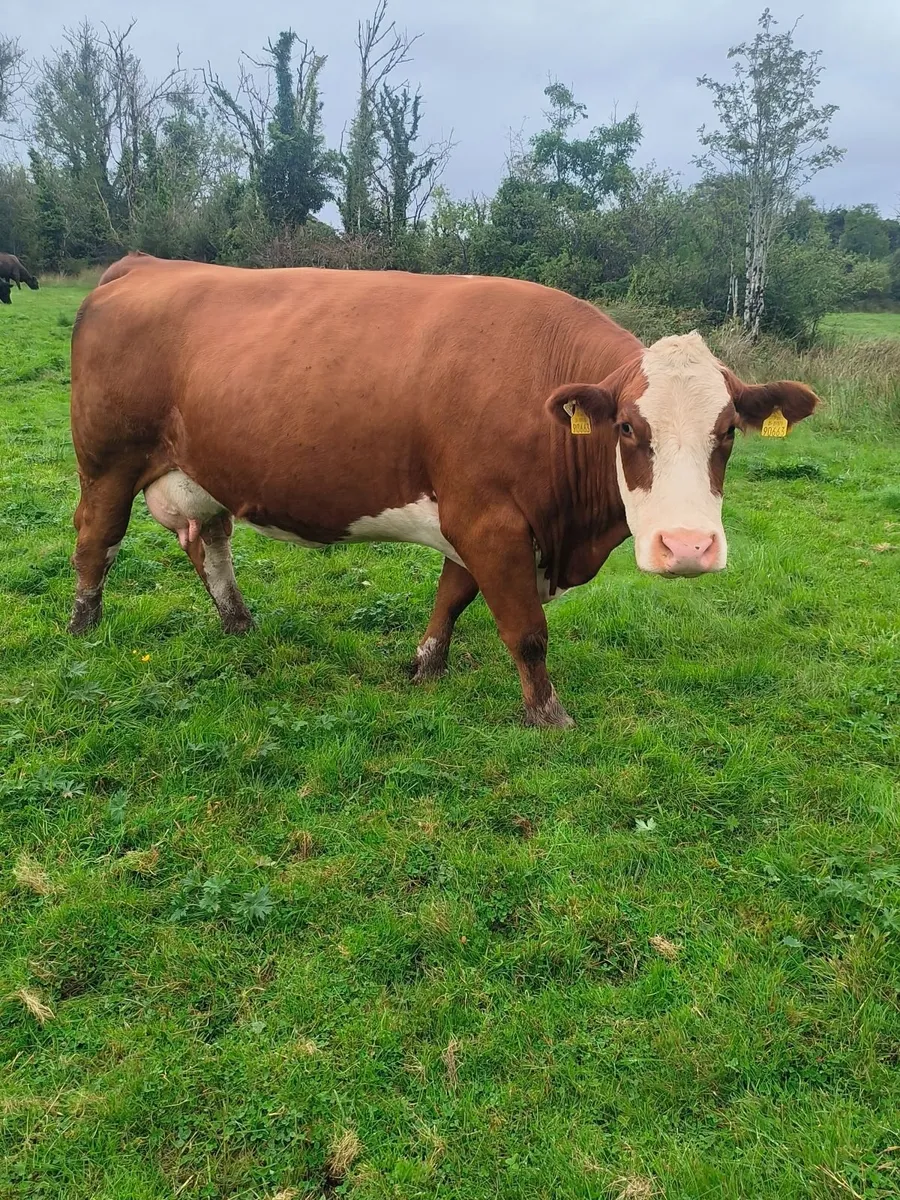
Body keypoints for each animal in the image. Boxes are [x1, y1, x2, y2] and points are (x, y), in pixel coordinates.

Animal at [68, 255, 819, 726]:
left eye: (728, 431)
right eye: (629, 428)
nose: (687, 547)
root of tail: (144, 263)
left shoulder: (476, 521)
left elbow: (451, 597)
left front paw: (426, 667)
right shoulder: (489, 521)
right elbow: (526, 630)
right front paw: (547, 713)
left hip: (200, 471)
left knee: (210, 542)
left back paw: (239, 623)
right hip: (106, 461)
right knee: (95, 540)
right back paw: (83, 627)